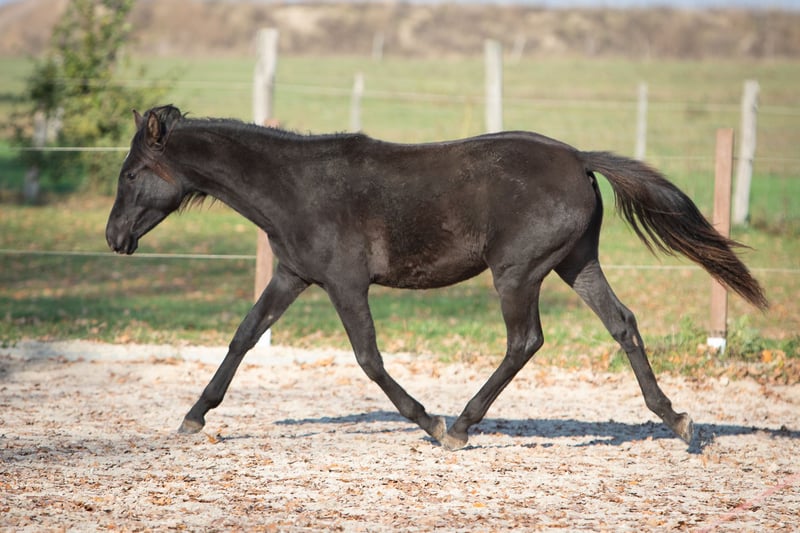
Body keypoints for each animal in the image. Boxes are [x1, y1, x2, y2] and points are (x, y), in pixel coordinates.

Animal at [106, 105, 767, 450]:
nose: (114, 238)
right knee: (622, 324)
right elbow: (243, 337)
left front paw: (428, 420)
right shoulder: (293, 277)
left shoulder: (346, 284)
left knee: (525, 341)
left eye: (132, 174)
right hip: (575, 263)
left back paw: (462, 426)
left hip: (517, 272)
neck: (298, 188)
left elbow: (369, 358)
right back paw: (678, 421)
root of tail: (579, 159)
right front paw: (194, 415)